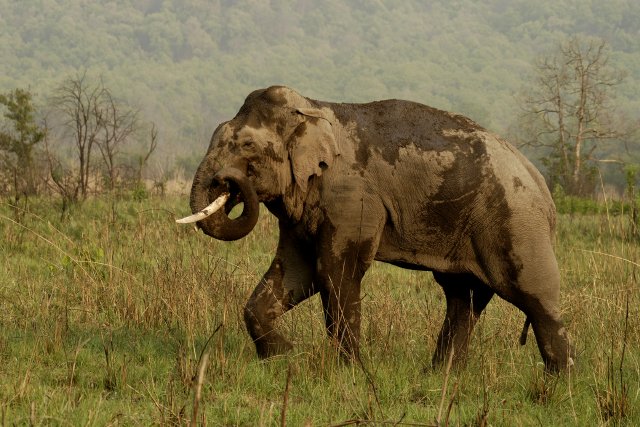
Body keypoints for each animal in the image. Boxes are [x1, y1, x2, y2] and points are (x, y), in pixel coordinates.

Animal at [178, 86, 573, 372]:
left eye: (246, 146)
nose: (227, 180)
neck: (313, 108)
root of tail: (542, 186)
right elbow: (296, 272)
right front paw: (285, 357)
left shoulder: (351, 198)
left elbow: (335, 271)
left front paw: (349, 372)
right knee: (463, 297)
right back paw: (438, 377)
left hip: (516, 224)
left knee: (535, 296)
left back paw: (557, 385)